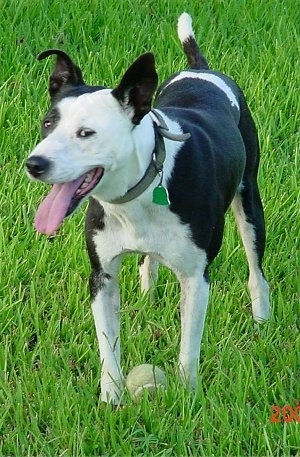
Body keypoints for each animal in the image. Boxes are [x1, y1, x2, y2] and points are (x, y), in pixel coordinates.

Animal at [25, 12, 270, 400]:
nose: (34, 164)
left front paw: (185, 398)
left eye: (86, 133)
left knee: (255, 267)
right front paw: (111, 398)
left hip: (249, 200)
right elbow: (107, 345)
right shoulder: (102, 277)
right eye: (48, 123)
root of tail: (200, 69)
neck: (138, 194)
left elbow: (189, 346)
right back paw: (146, 297)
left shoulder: (196, 277)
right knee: (148, 262)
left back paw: (261, 319)